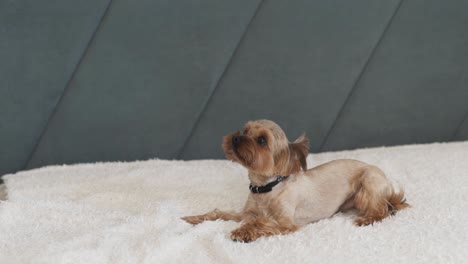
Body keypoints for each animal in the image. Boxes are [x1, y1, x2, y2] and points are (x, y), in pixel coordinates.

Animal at [181, 119, 408, 241]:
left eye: (261, 140)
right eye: (245, 130)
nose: (235, 138)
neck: (266, 187)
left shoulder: (285, 223)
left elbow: (261, 222)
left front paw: (242, 232)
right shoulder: (246, 213)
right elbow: (219, 213)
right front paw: (196, 218)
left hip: (368, 182)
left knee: (381, 209)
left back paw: (369, 218)